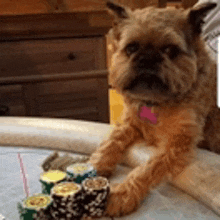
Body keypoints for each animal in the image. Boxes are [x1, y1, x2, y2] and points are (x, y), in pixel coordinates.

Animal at [88, 1, 217, 217]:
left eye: (170, 50)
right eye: (131, 48)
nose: (147, 58)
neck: (156, 103)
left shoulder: (176, 144)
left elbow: (147, 168)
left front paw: (123, 194)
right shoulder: (130, 123)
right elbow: (112, 141)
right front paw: (94, 165)